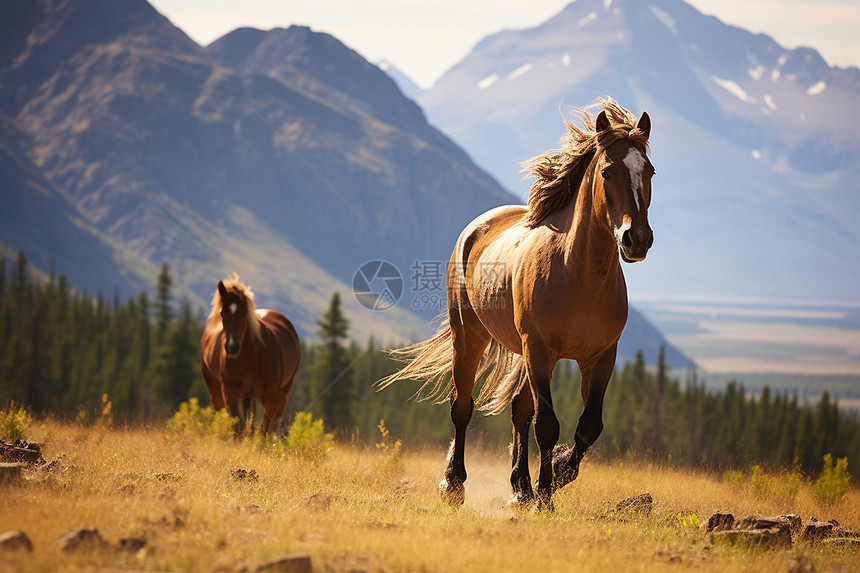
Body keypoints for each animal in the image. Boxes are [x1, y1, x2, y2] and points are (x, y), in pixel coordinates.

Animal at [200, 276, 300, 434]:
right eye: (222, 313)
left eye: (244, 313)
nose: (232, 347)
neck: (252, 357)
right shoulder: (230, 392)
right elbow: (238, 428)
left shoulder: (273, 397)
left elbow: (265, 430)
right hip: (217, 390)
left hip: (282, 392)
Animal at [380, 98, 656, 510]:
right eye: (607, 171)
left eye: (650, 171)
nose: (636, 239)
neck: (578, 274)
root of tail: (475, 227)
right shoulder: (540, 350)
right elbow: (547, 424)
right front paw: (545, 496)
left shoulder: (600, 356)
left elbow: (588, 426)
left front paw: (557, 475)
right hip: (471, 338)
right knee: (463, 406)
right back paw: (455, 484)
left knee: (518, 409)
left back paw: (520, 488)